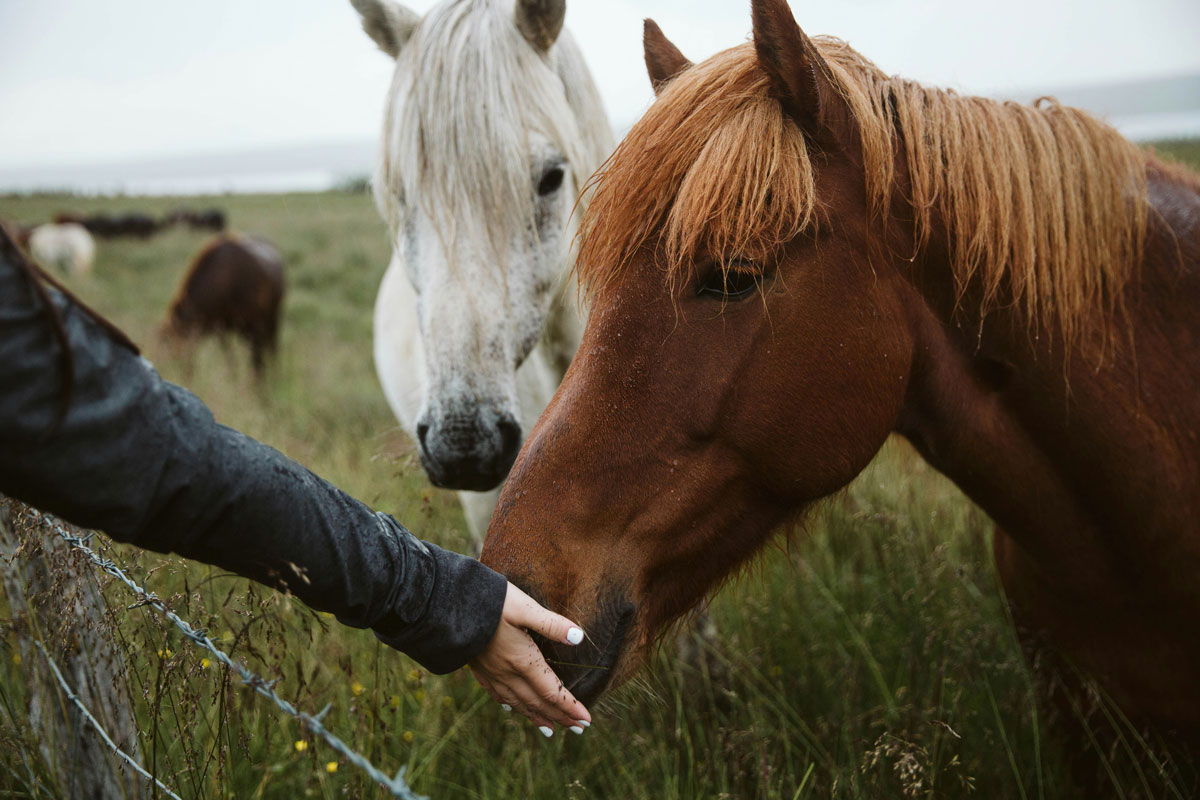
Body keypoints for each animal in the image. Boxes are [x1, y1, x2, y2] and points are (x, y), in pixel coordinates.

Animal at [162, 234, 285, 374]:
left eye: (174, 352)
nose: (185, 373)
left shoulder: (253, 326)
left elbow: (255, 357)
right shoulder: (222, 330)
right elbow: (230, 358)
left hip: (273, 318)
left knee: (272, 347)